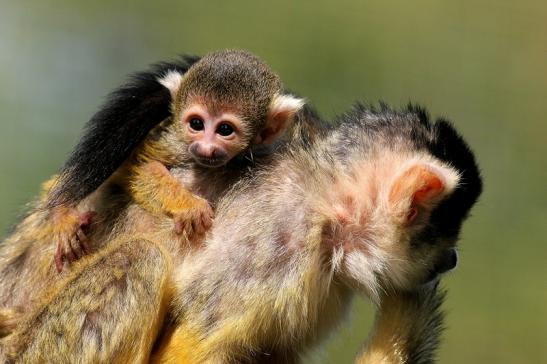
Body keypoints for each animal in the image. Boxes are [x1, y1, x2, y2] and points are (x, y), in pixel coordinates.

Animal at [46, 50, 304, 272]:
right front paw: (188, 207)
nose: (206, 148)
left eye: (225, 130)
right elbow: (141, 165)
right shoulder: (176, 140)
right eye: (197, 124)